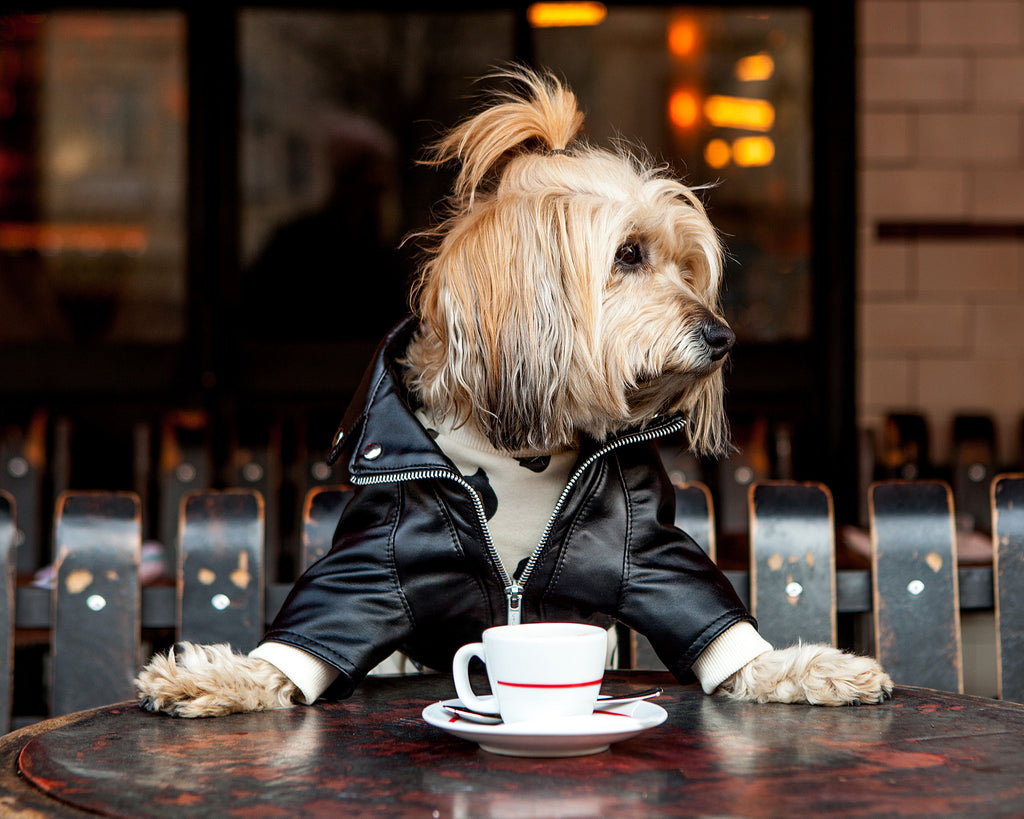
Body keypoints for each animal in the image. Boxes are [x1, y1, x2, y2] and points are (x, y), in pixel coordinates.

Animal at [136, 68, 888, 716]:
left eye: (687, 266)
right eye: (628, 254)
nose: (722, 336)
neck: (521, 443)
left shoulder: (648, 549)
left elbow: (715, 624)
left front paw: (812, 667)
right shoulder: (374, 556)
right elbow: (313, 631)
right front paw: (218, 677)